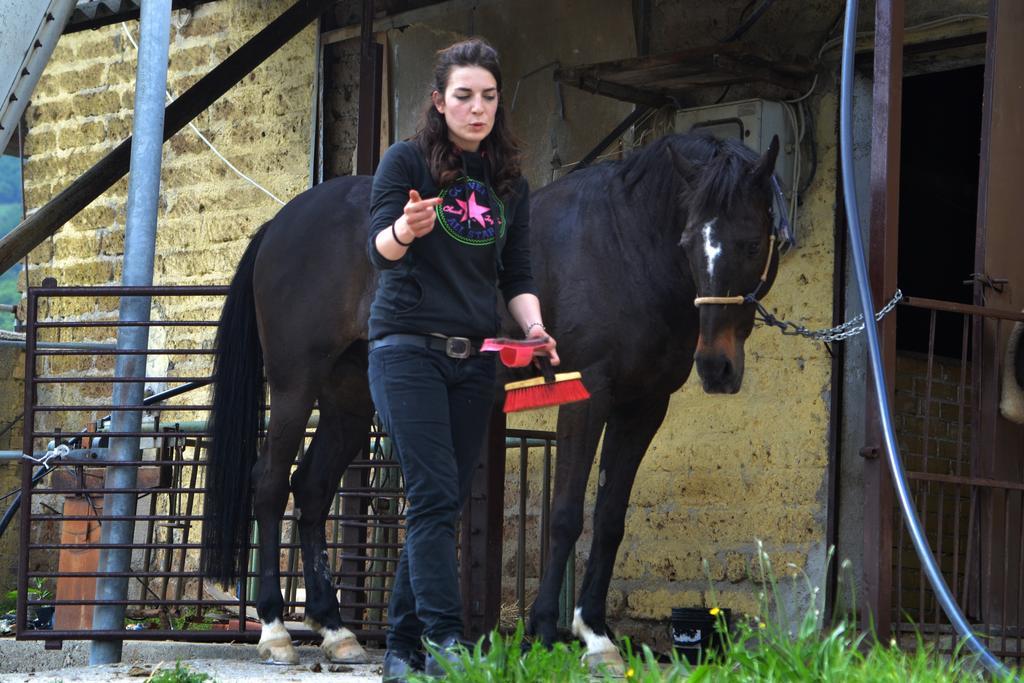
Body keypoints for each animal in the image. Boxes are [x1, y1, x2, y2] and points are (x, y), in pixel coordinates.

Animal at [199, 129, 778, 667]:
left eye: (753, 243)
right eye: (687, 242)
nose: (718, 367)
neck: (622, 245)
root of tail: (280, 222)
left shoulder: (644, 408)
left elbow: (611, 519)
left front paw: (596, 633)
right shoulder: (587, 396)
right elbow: (566, 514)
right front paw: (547, 632)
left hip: (350, 401)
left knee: (313, 489)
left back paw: (338, 631)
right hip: (294, 386)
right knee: (270, 484)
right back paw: (275, 630)